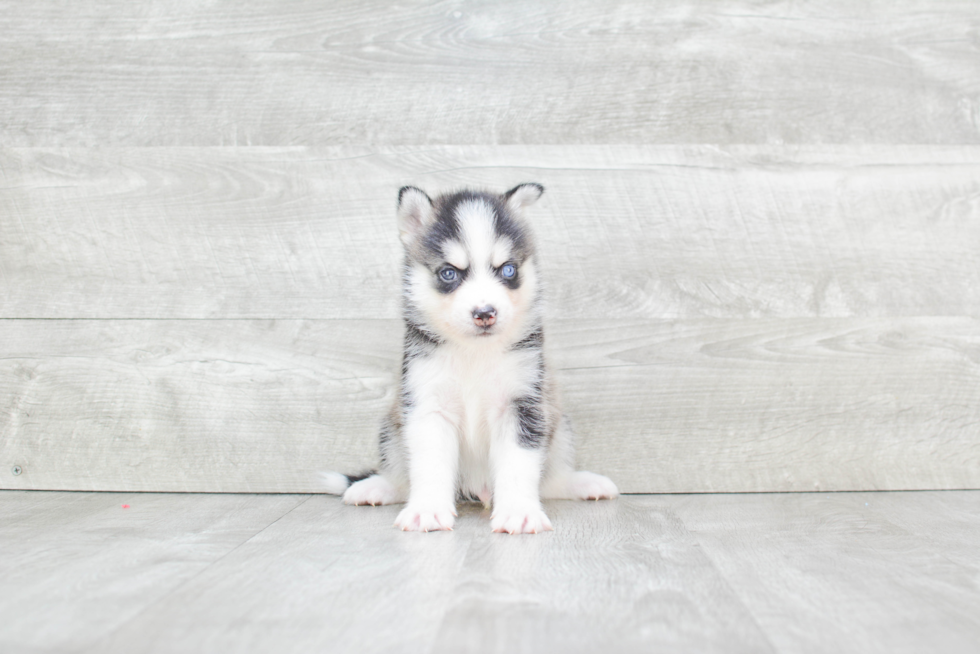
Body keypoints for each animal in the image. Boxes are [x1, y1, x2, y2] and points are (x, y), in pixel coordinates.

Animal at [330, 183, 620, 532]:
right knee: (401, 475)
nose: (485, 313)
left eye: (508, 269)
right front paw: (427, 509)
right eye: (448, 273)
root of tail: (475, 489)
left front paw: (519, 512)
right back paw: (376, 486)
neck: (474, 353)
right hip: (391, 428)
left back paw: (582, 483)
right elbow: (428, 465)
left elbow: (519, 465)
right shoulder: (428, 404)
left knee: (550, 480)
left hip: (559, 425)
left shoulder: (523, 406)